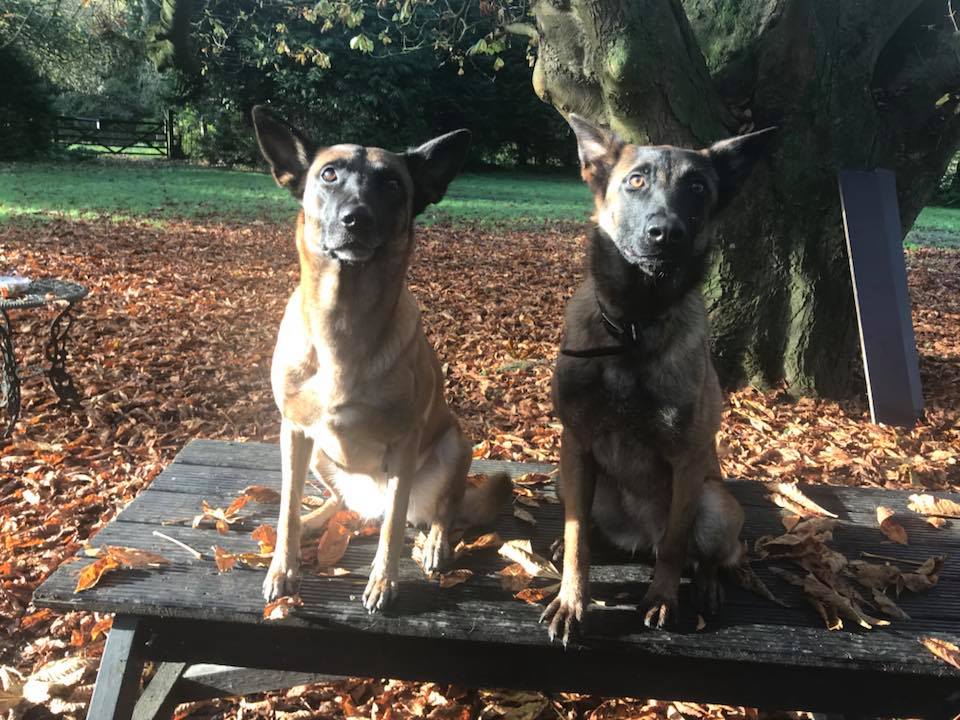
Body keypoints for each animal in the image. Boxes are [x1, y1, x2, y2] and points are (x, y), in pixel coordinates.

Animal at [251, 105, 511, 613]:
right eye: (328, 175)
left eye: (391, 183)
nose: (356, 218)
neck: (343, 321)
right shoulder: (293, 432)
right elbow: (287, 506)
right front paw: (282, 567)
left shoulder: (405, 443)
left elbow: (393, 525)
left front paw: (383, 581)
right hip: (318, 455)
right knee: (336, 502)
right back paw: (315, 520)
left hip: (455, 446)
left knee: (441, 509)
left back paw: (435, 543)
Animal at [541, 114, 775, 643]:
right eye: (636, 181)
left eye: (697, 187)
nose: (665, 233)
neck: (633, 325)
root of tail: (635, 537)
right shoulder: (576, 446)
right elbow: (577, 534)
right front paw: (571, 601)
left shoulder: (687, 462)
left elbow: (674, 543)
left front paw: (663, 598)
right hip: (570, 480)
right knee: (588, 528)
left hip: (716, 504)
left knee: (708, 553)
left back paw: (706, 585)